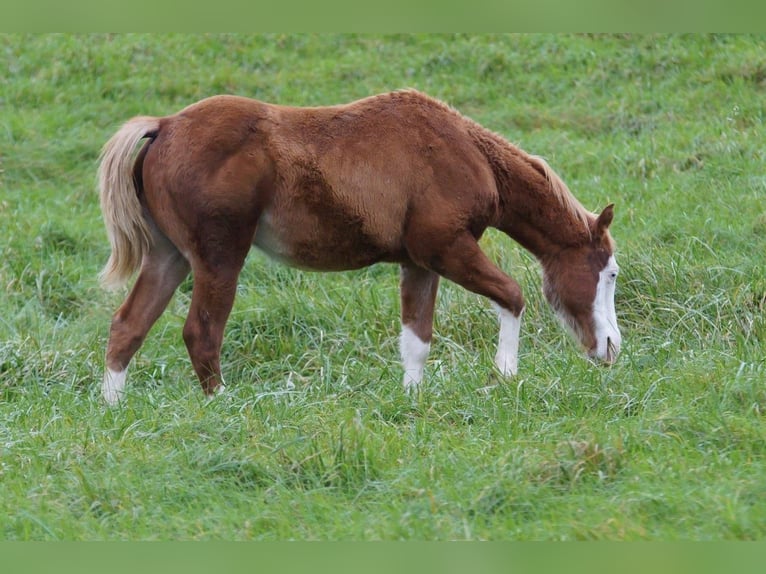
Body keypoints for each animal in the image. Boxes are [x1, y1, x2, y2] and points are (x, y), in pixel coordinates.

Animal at [97, 89, 624, 404]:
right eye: (610, 273)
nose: (612, 349)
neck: (462, 150)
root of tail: (165, 125)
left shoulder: (420, 262)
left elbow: (416, 340)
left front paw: (412, 399)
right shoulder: (447, 249)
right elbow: (512, 295)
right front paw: (507, 375)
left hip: (170, 256)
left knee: (128, 326)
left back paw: (113, 407)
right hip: (219, 258)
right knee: (201, 332)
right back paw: (222, 404)